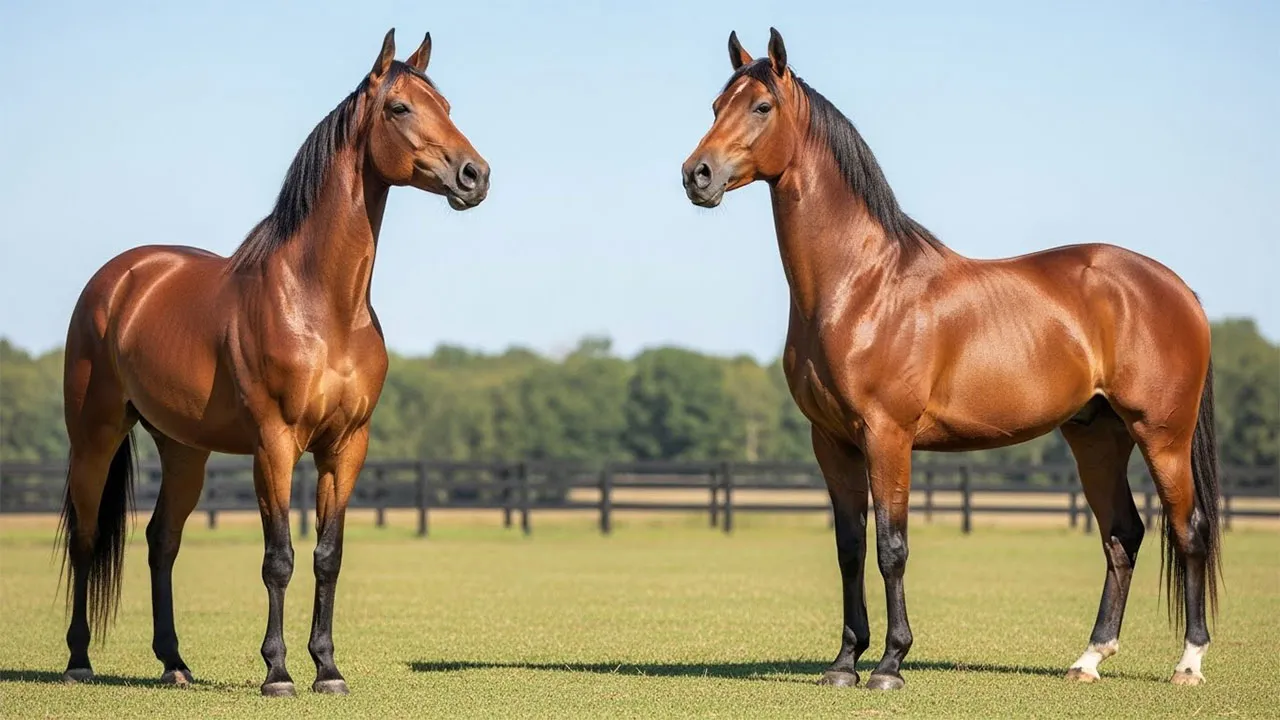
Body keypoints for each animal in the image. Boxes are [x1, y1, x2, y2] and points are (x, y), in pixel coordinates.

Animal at [58, 29, 489, 696]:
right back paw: (79, 660)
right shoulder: (275, 443)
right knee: (84, 536)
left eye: (446, 106)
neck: (320, 304)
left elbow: (328, 557)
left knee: (162, 541)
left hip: (184, 449)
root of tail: (119, 278)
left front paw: (328, 669)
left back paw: (175, 663)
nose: (475, 175)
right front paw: (279, 671)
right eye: (399, 108)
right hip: (95, 434)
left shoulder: (346, 446)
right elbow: (279, 558)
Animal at [681, 29, 1220, 690]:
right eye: (715, 106)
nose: (697, 174)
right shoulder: (831, 440)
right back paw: (1089, 659)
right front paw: (843, 664)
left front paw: (890, 664)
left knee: (1189, 531)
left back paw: (1188, 663)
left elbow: (891, 547)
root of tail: (1177, 289)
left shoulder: (887, 435)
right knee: (1123, 534)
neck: (860, 285)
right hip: (1097, 435)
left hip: (1162, 434)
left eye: (761, 107)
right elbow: (849, 547)